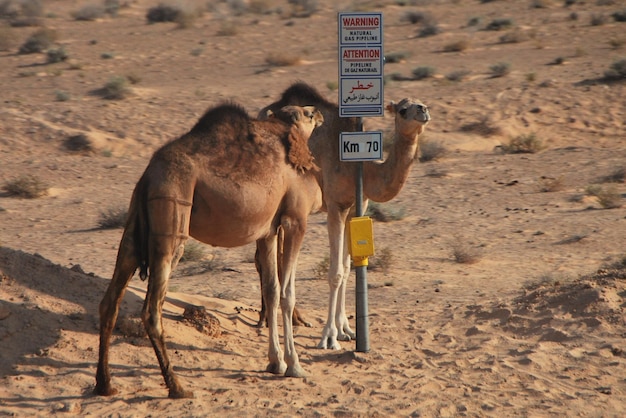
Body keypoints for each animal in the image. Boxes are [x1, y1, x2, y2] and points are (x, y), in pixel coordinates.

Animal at [95, 102, 326, 398]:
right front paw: (295, 365)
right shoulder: (295, 220)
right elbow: (287, 293)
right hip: (172, 212)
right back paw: (177, 387)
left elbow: (272, 290)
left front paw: (275, 362)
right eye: (307, 114)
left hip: (134, 224)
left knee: (110, 301)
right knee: (151, 310)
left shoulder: (268, 230)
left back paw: (105, 384)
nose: (318, 113)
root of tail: (148, 176)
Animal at [258, 81, 428, 350]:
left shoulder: (355, 207)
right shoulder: (336, 206)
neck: (362, 168)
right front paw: (329, 336)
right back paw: (268, 320)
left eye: (421, 102)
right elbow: (335, 273)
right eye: (403, 109)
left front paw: (345, 329)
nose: (423, 110)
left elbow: (348, 268)